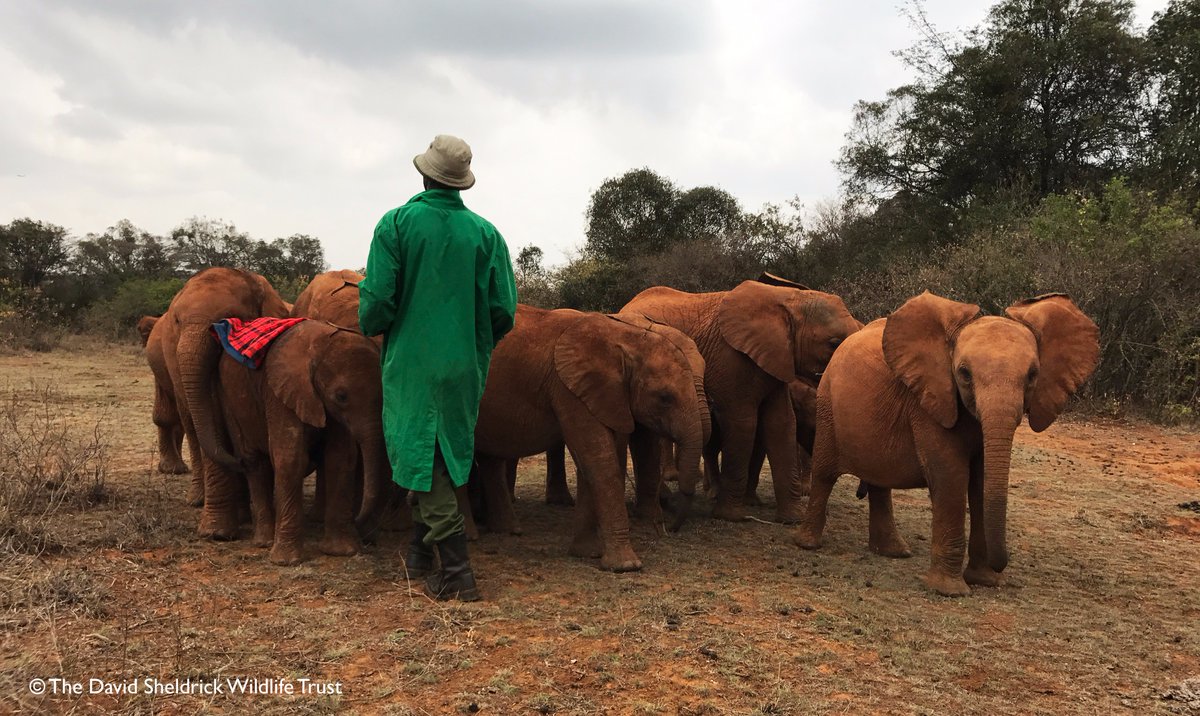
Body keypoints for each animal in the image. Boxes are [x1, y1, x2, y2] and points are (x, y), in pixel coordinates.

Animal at [158, 267, 291, 539]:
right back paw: (199, 500)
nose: (240, 462)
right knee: (193, 428)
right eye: (177, 322)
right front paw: (216, 533)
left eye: (227, 320)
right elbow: (213, 422)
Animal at [217, 319, 390, 565]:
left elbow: (340, 458)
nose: (360, 525)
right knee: (254, 462)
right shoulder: (280, 391)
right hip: (229, 399)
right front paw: (287, 561)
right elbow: (290, 458)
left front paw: (342, 551)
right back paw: (264, 541)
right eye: (341, 396)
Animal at [470, 305, 710, 571]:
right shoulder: (569, 388)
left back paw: (508, 531)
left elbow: (592, 462)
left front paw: (588, 553)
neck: (625, 339)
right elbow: (599, 460)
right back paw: (475, 535)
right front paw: (625, 566)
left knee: (489, 458)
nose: (671, 529)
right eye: (665, 397)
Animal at [622, 277, 861, 523]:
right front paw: (731, 516)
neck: (789, 299)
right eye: (834, 343)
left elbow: (782, 423)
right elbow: (742, 423)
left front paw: (793, 518)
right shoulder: (731, 358)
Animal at [794, 291, 1099, 596]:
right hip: (827, 403)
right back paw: (808, 544)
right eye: (964, 373)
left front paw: (984, 581)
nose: (1002, 564)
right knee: (825, 472)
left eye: (1033, 375)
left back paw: (893, 552)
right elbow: (950, 476)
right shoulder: (928, 402)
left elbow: (981, 480)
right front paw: (950, 591)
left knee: (879, 480)